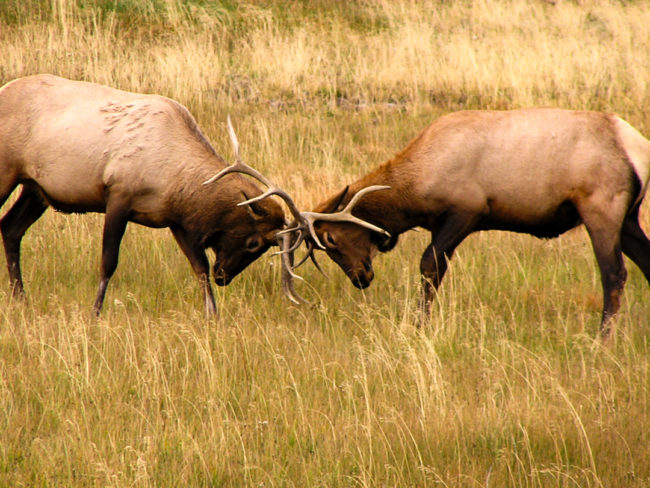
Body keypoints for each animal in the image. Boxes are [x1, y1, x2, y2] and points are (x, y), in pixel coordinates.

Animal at [0, 74, 292, 314]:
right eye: (254, 242)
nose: (224, 277)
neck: (174, 177)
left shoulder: (175, 220)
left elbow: (199, 267)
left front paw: (213, 316)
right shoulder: (118, 196)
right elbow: (108, 262)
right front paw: (95, 312)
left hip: (35, 189)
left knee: (11, 228)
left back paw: (21, 298)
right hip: (8, 172)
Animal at [298, 109, 648, 340]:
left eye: (331, 239)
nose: (361, 278)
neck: (418, 186)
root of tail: (636, 149)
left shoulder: (467, 211)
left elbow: (429, 265)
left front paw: (420, 326)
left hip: (601, 208)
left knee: (614, 273)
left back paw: (602, 339)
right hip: (628, 218)